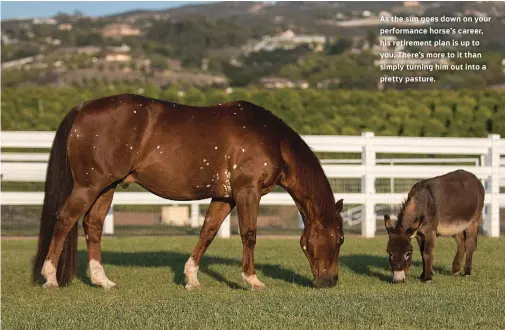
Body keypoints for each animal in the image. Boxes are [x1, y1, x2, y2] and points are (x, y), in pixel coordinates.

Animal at [31, 93, 344, 288]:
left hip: (105, 187)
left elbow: (207, 233)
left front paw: (191, 278)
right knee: (65, 220)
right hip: (89, 185)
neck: (272, 139)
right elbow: (249, 235)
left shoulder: (225, 196)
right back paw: (50, 277)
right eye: (339, 239)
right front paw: (252, 280)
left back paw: (102, 280)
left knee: (92, 225)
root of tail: (82, 108)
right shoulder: (247, 192)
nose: (330, 282)